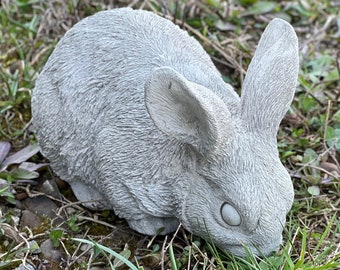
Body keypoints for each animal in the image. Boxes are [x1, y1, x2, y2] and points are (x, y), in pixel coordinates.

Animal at [31, 7, 298, 258]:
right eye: (229, 215)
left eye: (288, 197)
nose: (268, 249)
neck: (183, 153)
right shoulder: (116, 164)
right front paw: (157, 226)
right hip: (54, 130)